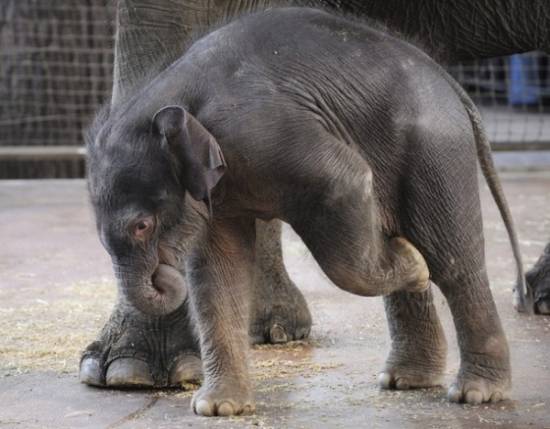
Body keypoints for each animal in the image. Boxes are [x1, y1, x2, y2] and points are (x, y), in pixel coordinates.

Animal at [80, 0, 550, 388]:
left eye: (142, 226)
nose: (163, 272)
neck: (173, 94)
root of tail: (456, 89)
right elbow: (217, 267)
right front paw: (220, 404)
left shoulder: (262, 131)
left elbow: (345, 181)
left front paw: (411, 263)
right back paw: (407, 379)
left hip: (434, 148)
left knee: (452, 260)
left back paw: (477, 390)